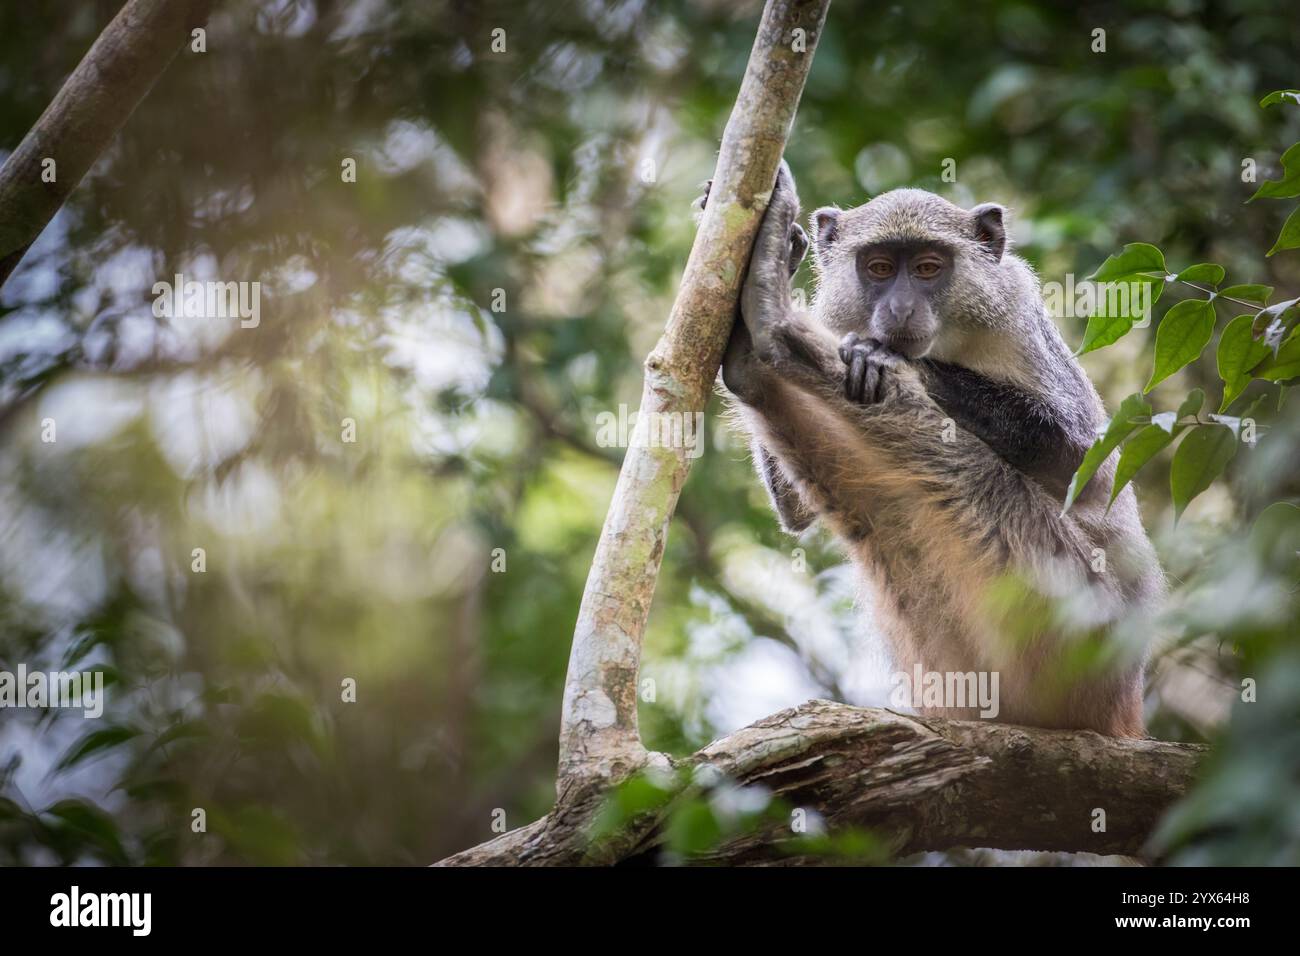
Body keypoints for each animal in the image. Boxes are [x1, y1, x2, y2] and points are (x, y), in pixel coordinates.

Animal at [708, 162, 1163, 737]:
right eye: (879, 268)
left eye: (928, 268)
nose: (901, 308)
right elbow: (795, 514)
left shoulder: (1018, 308)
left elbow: (1083, 461)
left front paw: (890, 358)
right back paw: (754, 349)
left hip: (1082, 622)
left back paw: (772, 324)